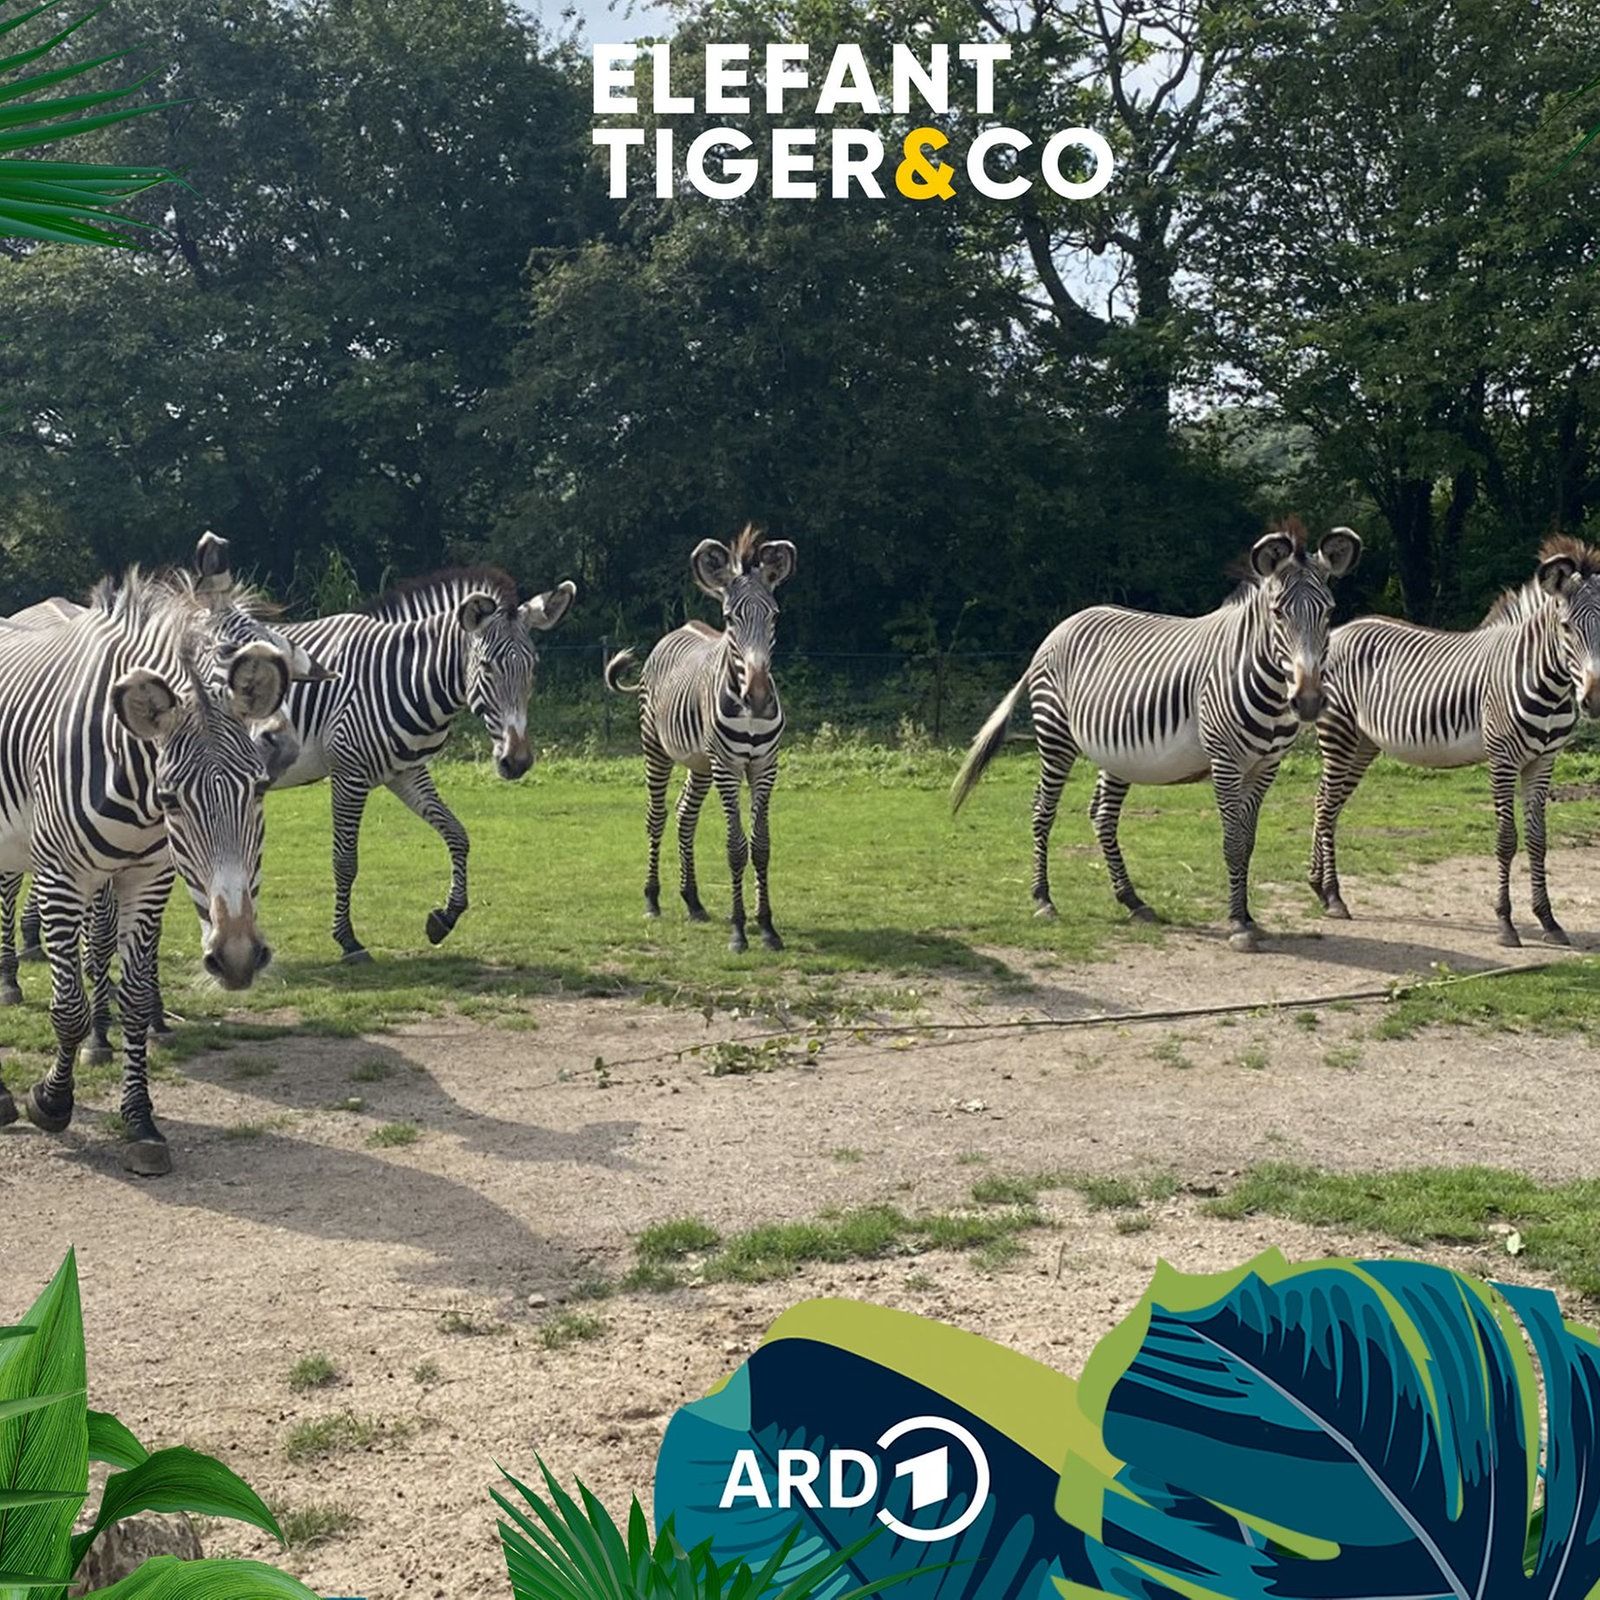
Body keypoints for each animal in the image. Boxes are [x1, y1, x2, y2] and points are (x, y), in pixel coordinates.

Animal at [0, 565, 293, 1175]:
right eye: (172, 798)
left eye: (257, 791)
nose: (237, 958)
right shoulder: (60, 876)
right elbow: (69, 1007)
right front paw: (51, 1101)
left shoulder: (148, 876)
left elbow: (133, 999)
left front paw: (140, 1124)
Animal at [262, 567, 577, 962]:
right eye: (487, 667)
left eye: (533, 668)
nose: (517, 761)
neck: (399, 676)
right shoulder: (349, 773)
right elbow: (345, 861)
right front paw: (348, 940)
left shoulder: (406, 772)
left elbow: (457, 834)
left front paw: (445, 917)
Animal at [604, 527, 797, 954]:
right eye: (728, 618)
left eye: (775, 616)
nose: (758, 696)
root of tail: (678, 629)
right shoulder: (728, 767)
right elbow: (736, 847)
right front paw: (740, 931)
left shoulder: (764, 766)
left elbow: (761, 845)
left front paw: (767, 927)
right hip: (657, 749)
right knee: (657, 816)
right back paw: (652, 898)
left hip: (701, 764)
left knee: (685, 815)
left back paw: (691, 900)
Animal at [952, 523, 1362, 950]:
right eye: (1278, 613)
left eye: (1329, 611)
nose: (1309, 701)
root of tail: (1060, 628)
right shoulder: (1225, 761)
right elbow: (1232, 841)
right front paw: (1237, 923)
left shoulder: (1266, 766)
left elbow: (1247, 841)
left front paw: (1249, 917)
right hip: (1055, 737)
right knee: (1042, 810)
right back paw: (1043, 899)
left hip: (1115, 752)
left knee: (1102, 815)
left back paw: (1132, 900)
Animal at [1310, 535, 1600, 947]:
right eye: (1566, 628)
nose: (1593, 699)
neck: (1546, 683)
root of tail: (1338, 631)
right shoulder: (1502, 759)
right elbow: (1507, 839)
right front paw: (1505, 923)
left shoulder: (1543, 761)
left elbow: (1538, 840)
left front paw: (1548, 920)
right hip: (1338, 734)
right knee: (1324, 806)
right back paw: (1334, 896)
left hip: (1362, 745)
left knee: (1327, 803)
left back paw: (1319, 887)